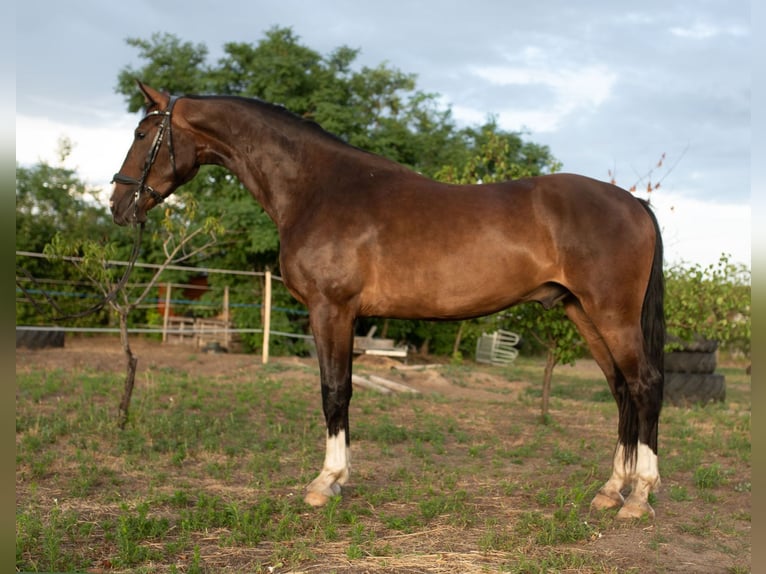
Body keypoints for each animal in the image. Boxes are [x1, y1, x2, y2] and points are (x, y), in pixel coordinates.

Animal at [111, 81, 665, 519]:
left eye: (141, 135)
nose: (118, 204)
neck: (317, 188)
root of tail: (634, 202)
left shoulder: (331, 309)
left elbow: (334, 391)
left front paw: (325, 483)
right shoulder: (347, 316)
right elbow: (343, 391)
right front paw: (337, 479)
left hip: (611, 314)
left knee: (644, 386)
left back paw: (640, 496)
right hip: (582, 312)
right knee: (620, 389)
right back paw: (610, 490)